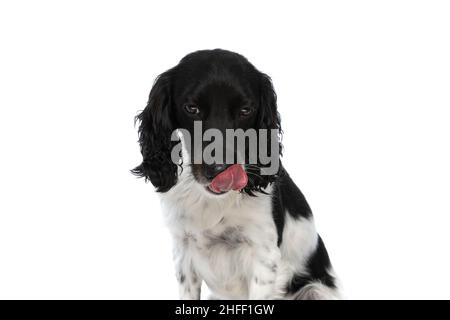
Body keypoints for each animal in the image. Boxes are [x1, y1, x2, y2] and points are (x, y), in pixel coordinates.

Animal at [132, 48, 340, 298]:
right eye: (192, 108)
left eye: (245, 110)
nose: (220, 168)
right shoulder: (183, 252)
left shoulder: (263, 258)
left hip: (316, 289)